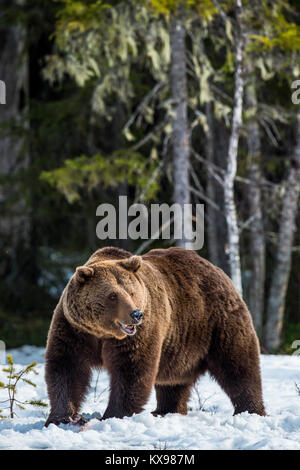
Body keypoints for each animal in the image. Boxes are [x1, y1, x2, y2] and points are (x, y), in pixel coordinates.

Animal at [44, 246, 264, 426]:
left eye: (132, 292)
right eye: (112, 295)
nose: (136, 314)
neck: (102, 332)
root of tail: (217, 270)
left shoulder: (140, 332)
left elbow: (131, 370)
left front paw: (112, 415)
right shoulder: (74, 329)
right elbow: (67, 367)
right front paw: (62, 417)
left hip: (216, 323)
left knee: (238, 365)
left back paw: (251, 411)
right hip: (179, 345)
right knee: (173, 382)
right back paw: (165, 411)